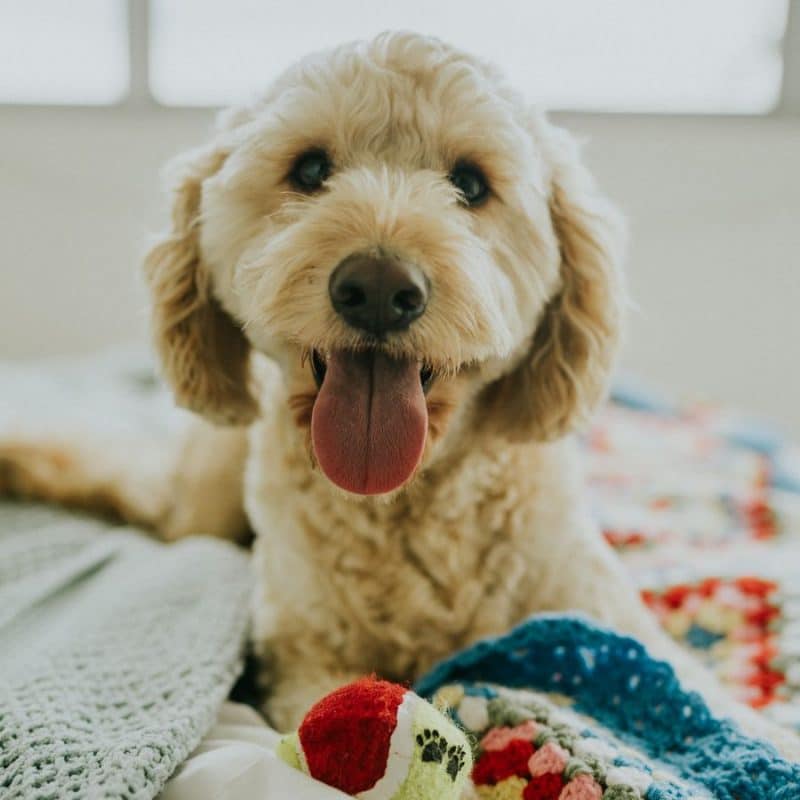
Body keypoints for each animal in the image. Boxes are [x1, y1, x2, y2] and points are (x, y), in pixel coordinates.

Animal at [1, 31, 800, 756]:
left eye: (471, 184)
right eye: (310, 169)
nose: (379, 289)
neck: (407, 503)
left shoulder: (605, 616)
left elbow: (717, 703)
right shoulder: (305, 655)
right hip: (202, 508)